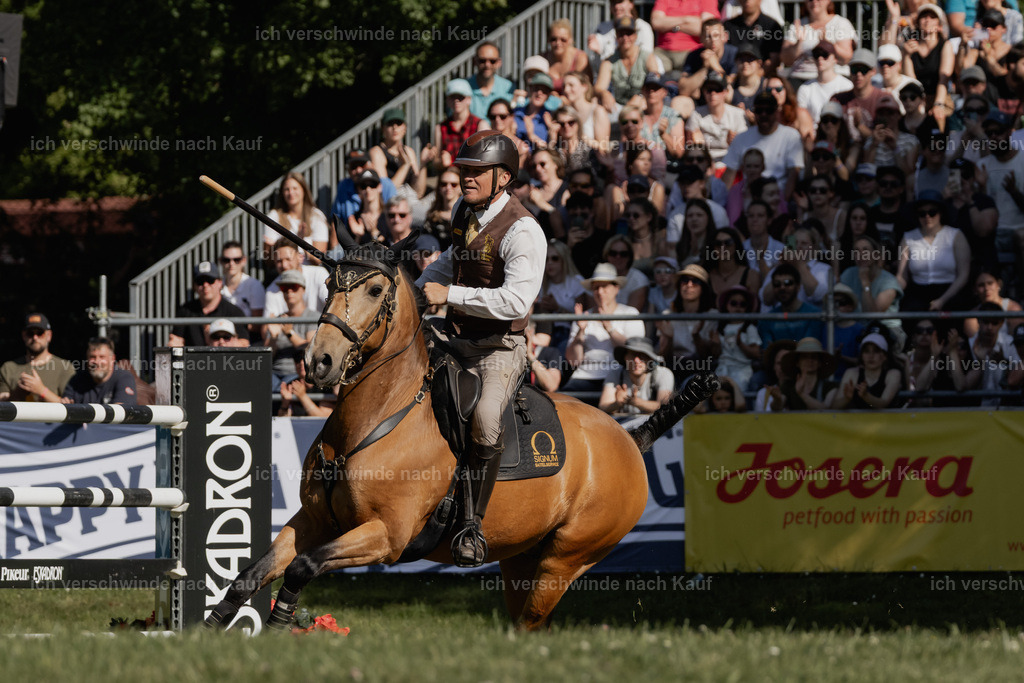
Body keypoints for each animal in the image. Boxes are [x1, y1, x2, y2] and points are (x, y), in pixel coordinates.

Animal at [204, 239, 717, 631]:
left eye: (374, 288)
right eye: (330, 285)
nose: (320, 362)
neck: (376, 420)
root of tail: (631, 440)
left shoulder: (385, 536)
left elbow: (302, 566)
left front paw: (280, 622)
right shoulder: (314, 521)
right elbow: (252, 574)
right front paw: (212, 629)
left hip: (565, 561)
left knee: (533, 620)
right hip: (520, 561)